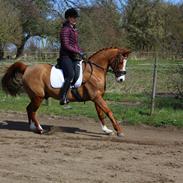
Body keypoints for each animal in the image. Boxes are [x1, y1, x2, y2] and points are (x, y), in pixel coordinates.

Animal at [1, 46, 130, 136]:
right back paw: (40, 129)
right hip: (38, 97)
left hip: (36, 97)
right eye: (120, 62)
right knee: (32, 111)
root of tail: (27, 68)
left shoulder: (97, 97)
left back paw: (32, 127)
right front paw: (119, 131)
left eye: (125, 62)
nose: (121, 79)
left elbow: (101, 114)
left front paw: (106, 130)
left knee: (29, 109)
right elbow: (109, 112)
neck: (95, 70)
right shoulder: (97, 97)